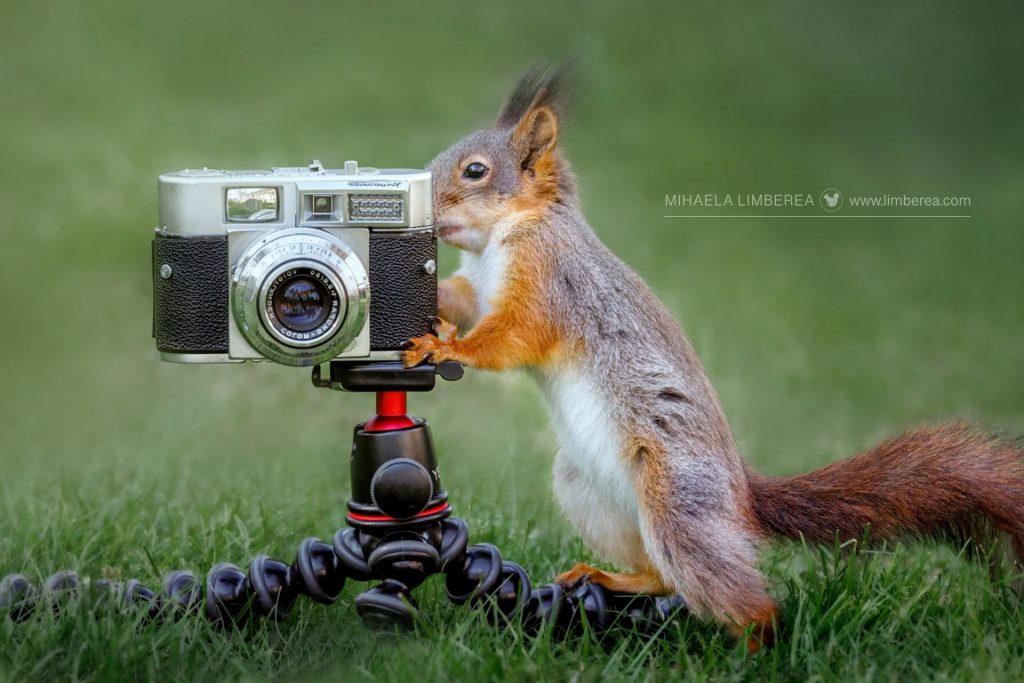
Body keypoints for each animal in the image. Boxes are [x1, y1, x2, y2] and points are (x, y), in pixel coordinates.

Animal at [401, 68, 1024, 651]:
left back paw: (754, 649)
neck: (507, 235)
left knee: (739, 596)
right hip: (586, 487)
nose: (422, 205)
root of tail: (741, 501)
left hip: (676, 499)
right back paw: (612, 578)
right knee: (662, 576)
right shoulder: (480, 289)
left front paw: (445, 346)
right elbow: (464, 302)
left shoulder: (551, 283)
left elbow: (510, 338)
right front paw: (428, 308)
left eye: (475, 171)